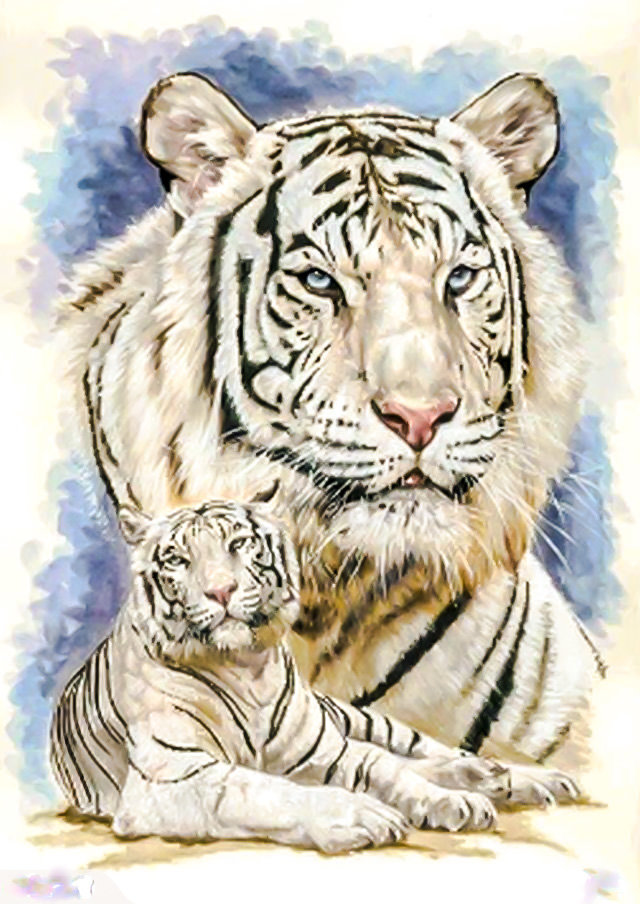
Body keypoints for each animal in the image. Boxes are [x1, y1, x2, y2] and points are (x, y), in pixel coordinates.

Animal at [49, 498, 580, 852]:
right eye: (178, 560)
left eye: (239, 544)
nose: (220, 591)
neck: (246, 668)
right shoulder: (174, 777)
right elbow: (270, 791)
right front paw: (364, 816)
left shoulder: (325, 748)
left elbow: (385, 768)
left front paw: (451, 803)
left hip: (360, 719)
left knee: (426, 752)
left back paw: (518, 778)